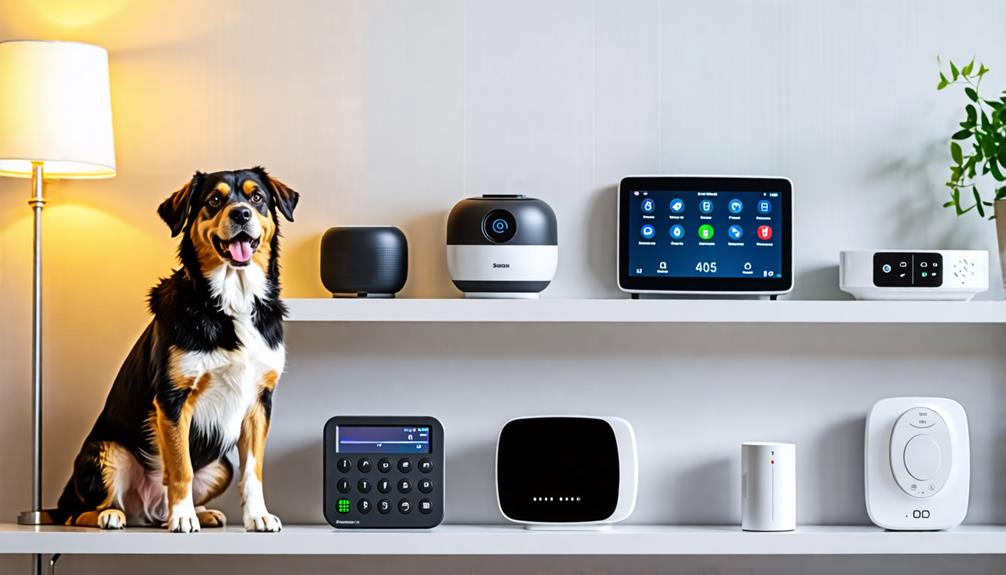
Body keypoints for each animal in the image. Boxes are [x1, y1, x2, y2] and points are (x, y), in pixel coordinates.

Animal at [48, 168, 297, 530]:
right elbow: (181, 467)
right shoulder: (173, 397)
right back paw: (115, 514)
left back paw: (201, 513)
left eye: (257, 198)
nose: (241, 214)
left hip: (221, 466)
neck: (231, 301)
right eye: (215, 200)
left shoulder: (258, 401)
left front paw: (257, 516)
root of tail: (145, 509)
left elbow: (253, 471)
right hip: (104, 451)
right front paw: (182, 517)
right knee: (76, 514)